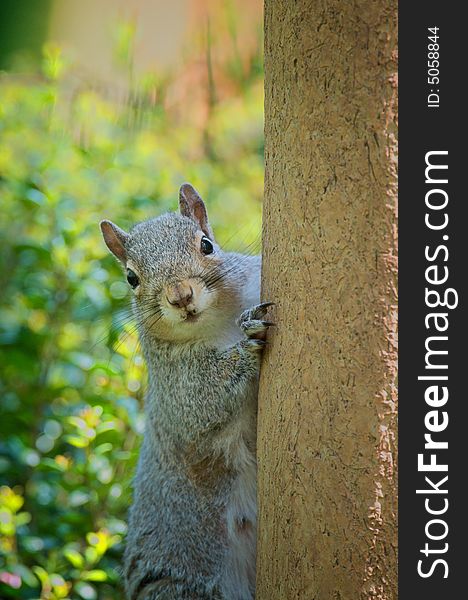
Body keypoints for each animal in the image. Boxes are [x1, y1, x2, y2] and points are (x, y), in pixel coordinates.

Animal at [100, 184, 272, 600]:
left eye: (206, 245)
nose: (180, 296)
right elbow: (202, 402)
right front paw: (247, 346)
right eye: (131, 277)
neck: (219, 324)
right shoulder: (175, 387)